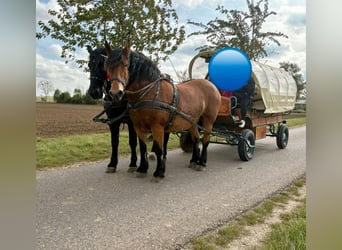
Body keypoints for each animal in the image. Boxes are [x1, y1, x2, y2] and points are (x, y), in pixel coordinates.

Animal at [87, 45, 170, 174]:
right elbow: (114, 142)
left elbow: (133, 142)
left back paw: (162, 156)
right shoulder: (113, 122)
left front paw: (134, 163)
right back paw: (153, 154)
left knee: (164, 137)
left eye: (102, 64)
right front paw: (112, 164)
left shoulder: (132, 122)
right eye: (89, 65)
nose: (93, 92)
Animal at [105, 42, 222, 180]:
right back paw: (194, 160)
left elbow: (159, 149)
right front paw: (142, 169)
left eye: (125, 65)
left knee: (205, 140)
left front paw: (159, 172)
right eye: (107, 67)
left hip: (208, 121)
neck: (150, 92)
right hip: (192, 121)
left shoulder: (157, 127)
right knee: (196, 139)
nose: (115, 93)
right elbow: (143, 148)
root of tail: (211, 85)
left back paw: (202, 163)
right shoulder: (138, 127)